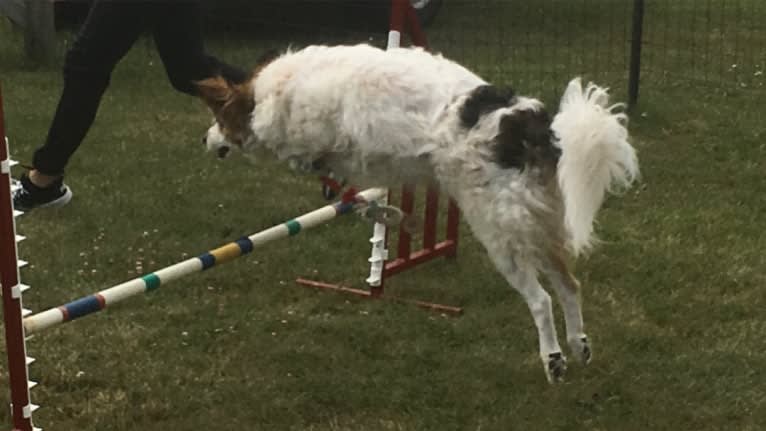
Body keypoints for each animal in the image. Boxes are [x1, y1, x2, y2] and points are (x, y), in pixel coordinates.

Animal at [198, 43, 640, 382]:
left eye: (217, 118)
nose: (206, 140)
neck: (267, 95)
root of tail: (531, 125)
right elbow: (348, 195)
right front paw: (390, 215)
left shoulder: (325, 151)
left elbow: (341, 188)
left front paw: (390, 215)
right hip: (537, 226)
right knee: (568, 285)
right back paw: (579, 346)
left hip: (500, 233)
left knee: (541, 300)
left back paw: (553, 359)